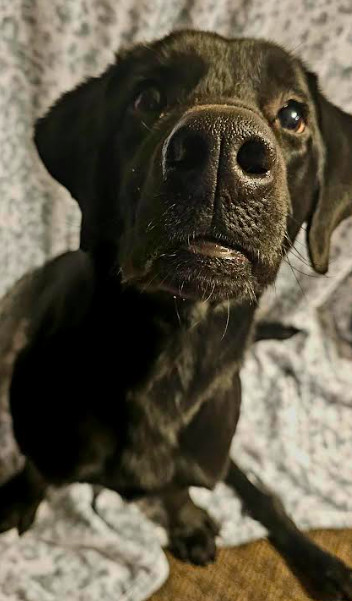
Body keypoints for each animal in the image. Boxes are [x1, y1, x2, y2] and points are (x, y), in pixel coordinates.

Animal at [2, 30, 352, 596]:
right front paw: (18, 496)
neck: (172, 347)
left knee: (265, 498)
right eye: (146, 98)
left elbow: (181, 487)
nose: (223, 147)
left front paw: (186, 519)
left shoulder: (204, 448)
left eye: (294, 115)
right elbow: (39, 465)